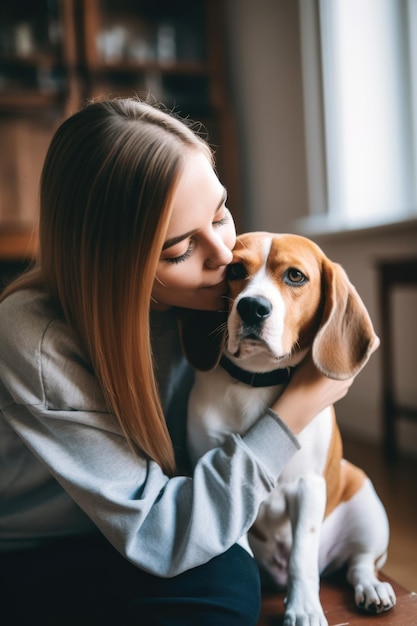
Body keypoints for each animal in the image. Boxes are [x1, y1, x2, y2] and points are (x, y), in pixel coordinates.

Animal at [180, 230, 394, 624]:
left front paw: (304, 607)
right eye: (234, 270)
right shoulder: (215, 478)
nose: (252, 307)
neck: (255, 382)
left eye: (295, 276)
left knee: (359, 563)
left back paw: (372, 588)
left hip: (364, 501)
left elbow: (302, 558)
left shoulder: (307, 486)